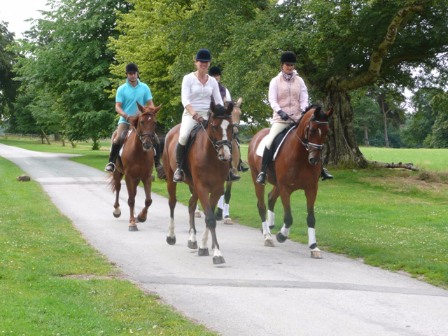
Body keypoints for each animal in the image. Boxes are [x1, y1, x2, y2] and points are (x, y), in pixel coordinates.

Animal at [109, 103, 162, 231]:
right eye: (141, 122)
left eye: (155, 122)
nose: (147, 144)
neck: (139, 152)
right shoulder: (129, 176)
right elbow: (131, 200)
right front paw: (132, 223)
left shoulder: (146, 176)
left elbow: (148, 200)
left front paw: (141, 217)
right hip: (118, 173)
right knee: (118, 188)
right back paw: (117, 210)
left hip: (137, 178)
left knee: (134, 192)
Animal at [164, 101, 234, 264]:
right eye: (214, 126)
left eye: (231, 126)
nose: (226, 155)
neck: (211, 156)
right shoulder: (202, 187)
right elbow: (210, 218)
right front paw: (217, 254)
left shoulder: (216, 188)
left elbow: (210, 217)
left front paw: (204, 247)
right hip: (172, 179)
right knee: (172, 203)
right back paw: (171, 236)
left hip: (194, 186)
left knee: (191, 206)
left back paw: (192, 239)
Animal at [248, 103, 332, 258]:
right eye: (312, 130)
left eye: (327, 131)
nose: (315, 160)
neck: (301, 155)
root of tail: (257, 135)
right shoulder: (285, 188)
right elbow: (288, 217)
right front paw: (282, 235)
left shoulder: (311, 189)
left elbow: (311, 218)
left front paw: (314, 246)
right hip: (258, 179)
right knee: (261, 205)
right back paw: (267, 236)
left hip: (277, 184)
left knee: (271, 198)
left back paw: (269, 227)